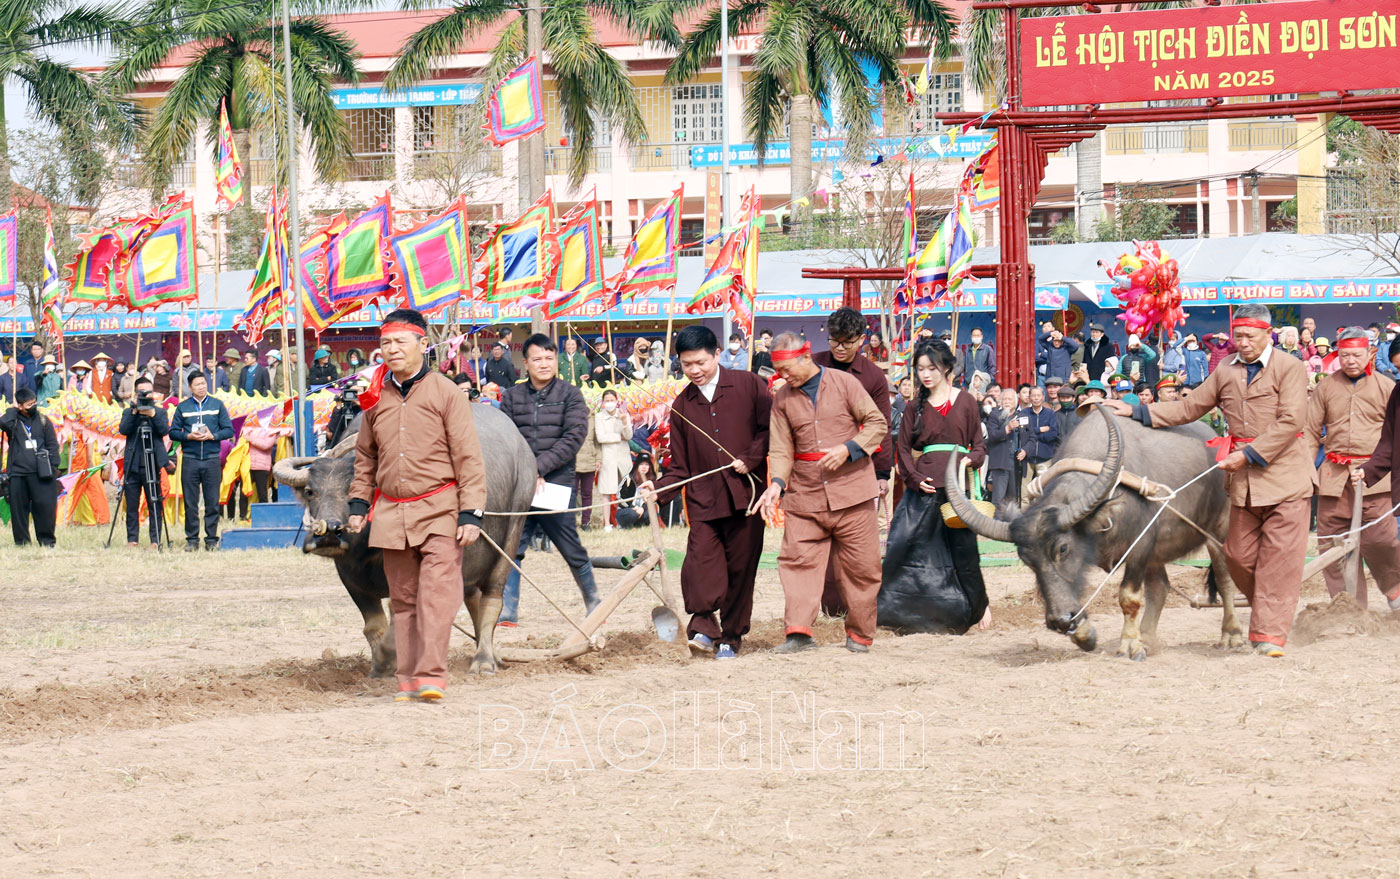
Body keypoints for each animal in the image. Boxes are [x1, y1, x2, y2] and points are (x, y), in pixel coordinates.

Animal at [273, 405, 534, 680]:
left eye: (354, 491)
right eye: (311, 491)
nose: (329, 533)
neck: (369, 552)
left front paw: (391, 660)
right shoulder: (351, 577)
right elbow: (374, 625)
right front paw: (380, 668)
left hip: (512, 533)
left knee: (492, 600)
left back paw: (483, 660)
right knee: (472, 598)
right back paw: (493, 655)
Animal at [946, 405, 1243, 660]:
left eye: (1063, 548)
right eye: (1027, 559)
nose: (1058, 620)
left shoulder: (1140, 547)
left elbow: (1129, 598)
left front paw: (1129, 645)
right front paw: (1085, 634)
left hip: (1218, 530)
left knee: (1225, 578)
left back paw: (1231, 635)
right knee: (1160, 588)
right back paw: (1148, 639)